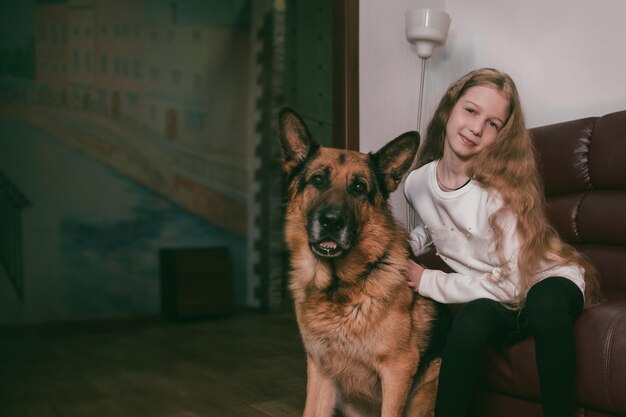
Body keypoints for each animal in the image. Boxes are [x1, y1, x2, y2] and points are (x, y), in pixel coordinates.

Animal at [280, 108, 448, 416]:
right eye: (318, 180)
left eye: (358, 187)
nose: (332, 222)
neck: (338, 286)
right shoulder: (320, 373)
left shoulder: (397, 371)